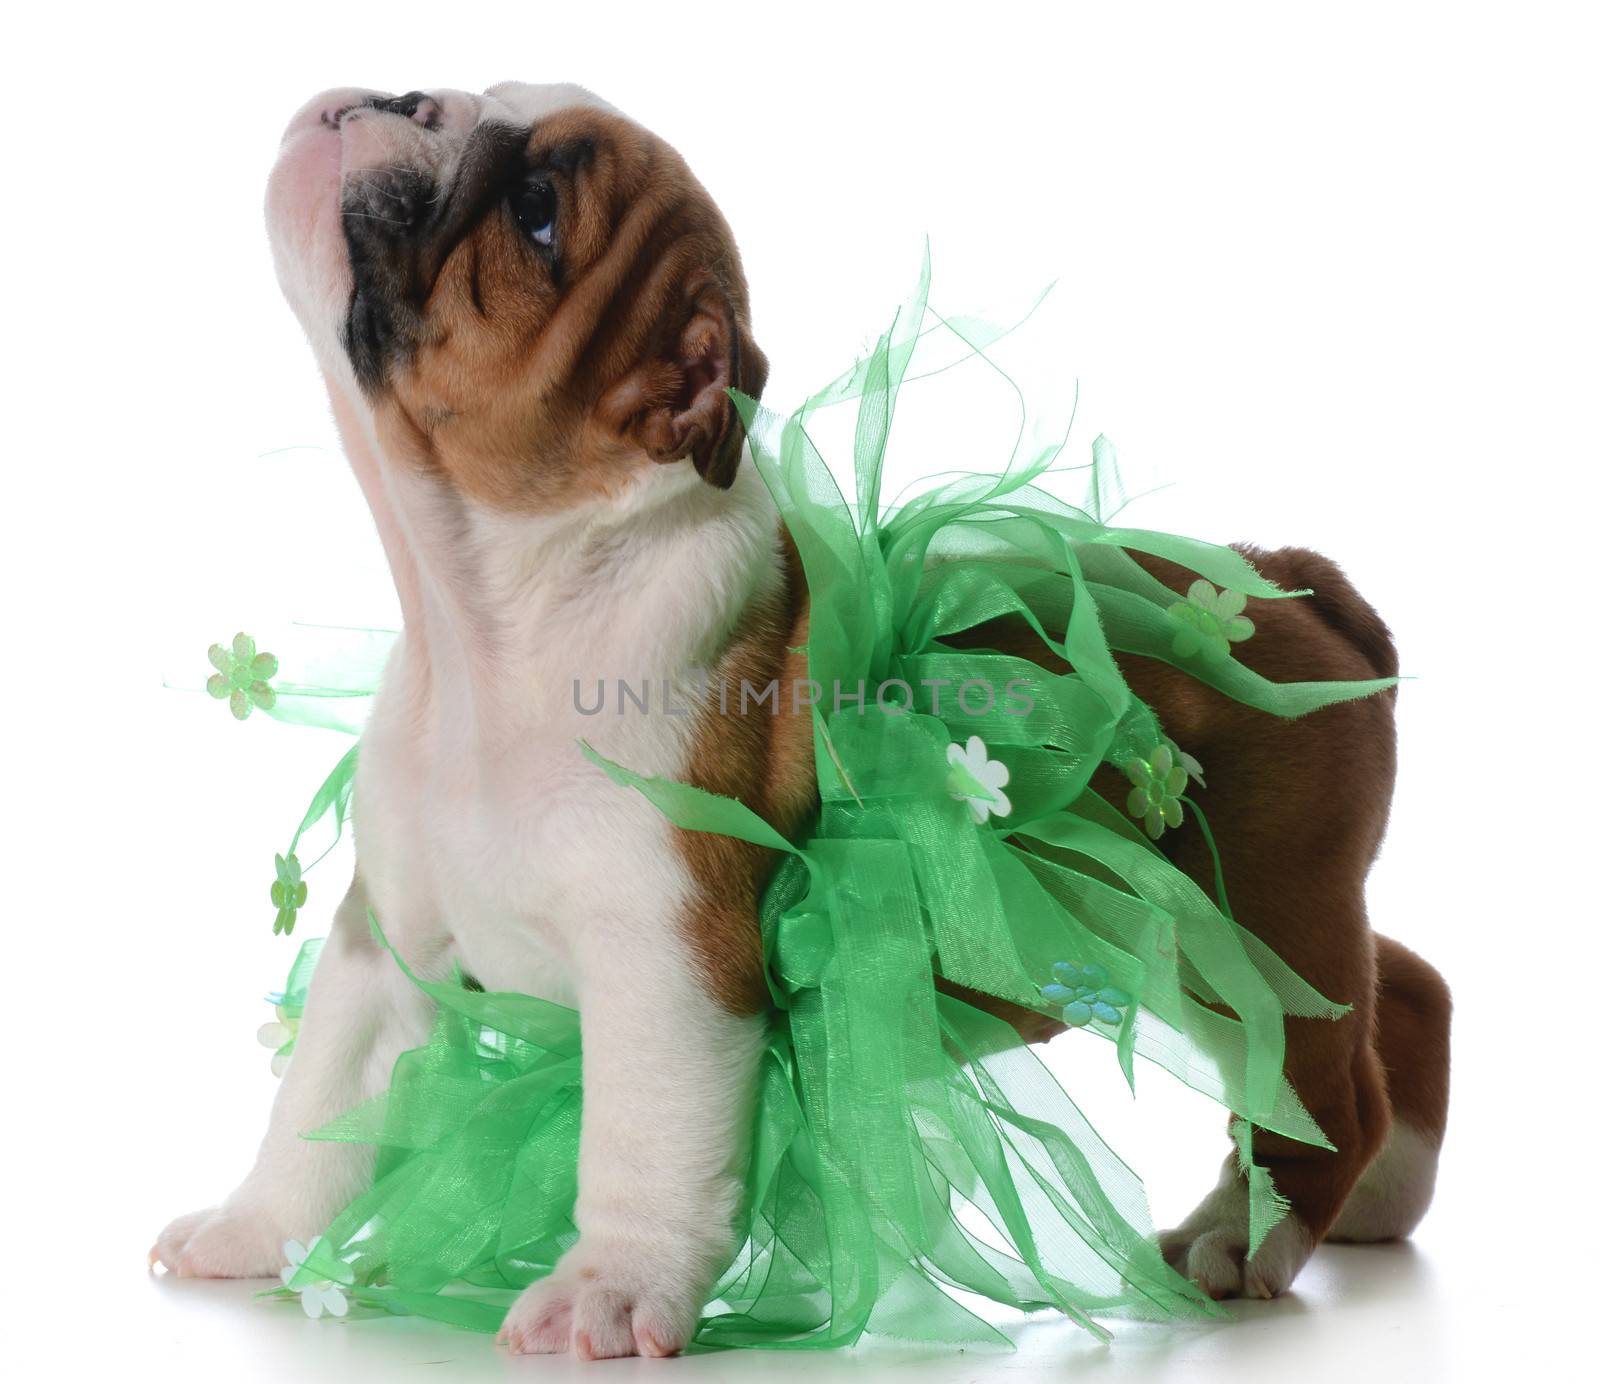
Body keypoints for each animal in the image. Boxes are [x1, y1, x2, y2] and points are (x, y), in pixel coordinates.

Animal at [150, 80, 1452, 1356]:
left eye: (534, 213)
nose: (403, 96)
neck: (492, 618)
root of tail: (1288, 582)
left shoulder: (669, 961)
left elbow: (642, 1141)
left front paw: (608, 1289)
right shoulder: (385, 943)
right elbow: (320, 1097)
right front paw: (247, 1229)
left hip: (1251, 928)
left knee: (1322, 1089)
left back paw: (1245, 1236)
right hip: (1252, 920)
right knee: (1401, 992)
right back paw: (1382, 1197)